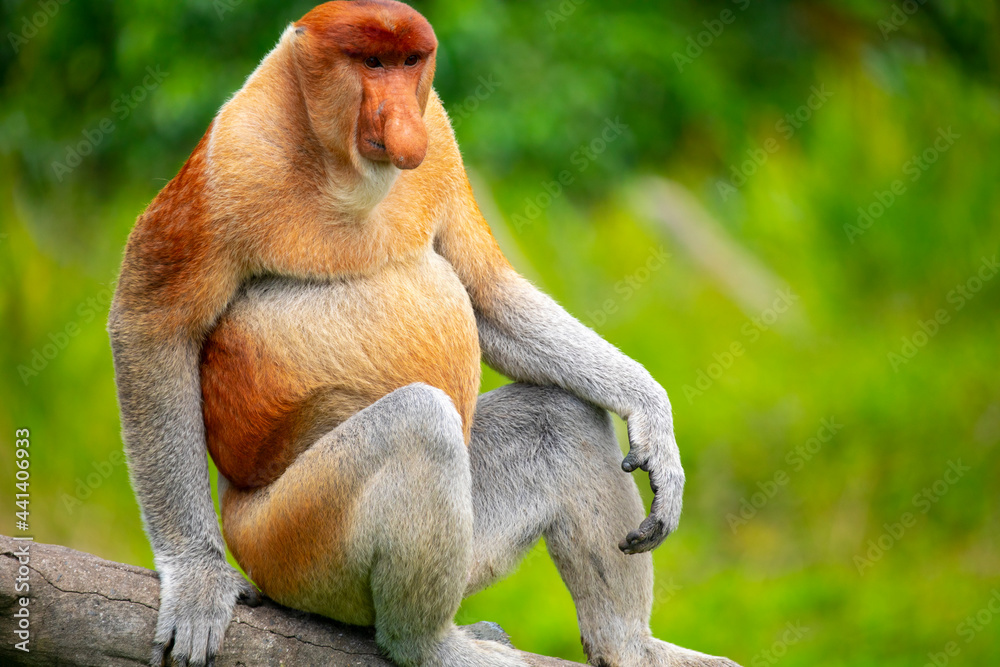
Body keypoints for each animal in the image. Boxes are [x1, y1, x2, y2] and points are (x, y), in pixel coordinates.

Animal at [108, 1, 739, 666]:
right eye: (371, 62)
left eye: (410, 62)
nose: (402, 122)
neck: (345, 171)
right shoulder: (231, 159)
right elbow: (152, 327)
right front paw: (199, 580)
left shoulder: (441, 139)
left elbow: (487, 295)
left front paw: (654, 424)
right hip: (289, 542)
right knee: (420, 426)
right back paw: (433, 645)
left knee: (559, 418)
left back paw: (631, 648)